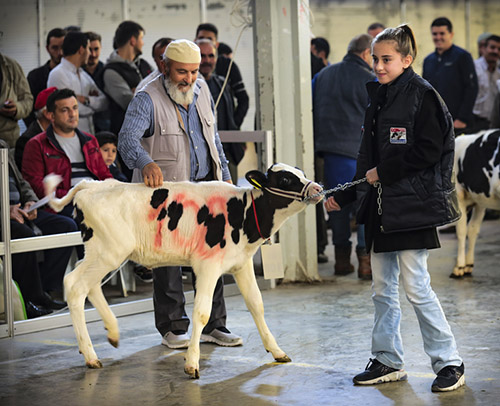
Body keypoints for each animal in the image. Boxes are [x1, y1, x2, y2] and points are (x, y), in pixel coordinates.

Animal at [43, 163, 323, 378]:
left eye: (300, 171)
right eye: (285, 179)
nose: (319, 189)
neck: (242, 214)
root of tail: (91, 185)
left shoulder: (241, 264)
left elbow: (256, 304)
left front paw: (277, 351)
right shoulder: (207, 265)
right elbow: (202, 312)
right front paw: (192, 363)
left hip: (102, 252)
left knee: (89, 285)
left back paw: (111, 333)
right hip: (109, 251)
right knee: (74, 285)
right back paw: (91, 355)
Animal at [451, 129, 500, 278]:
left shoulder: (459, 197)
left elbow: (462, 231)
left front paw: (459, 267)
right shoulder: (480, 200)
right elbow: (473, 230)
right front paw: (468, 264)